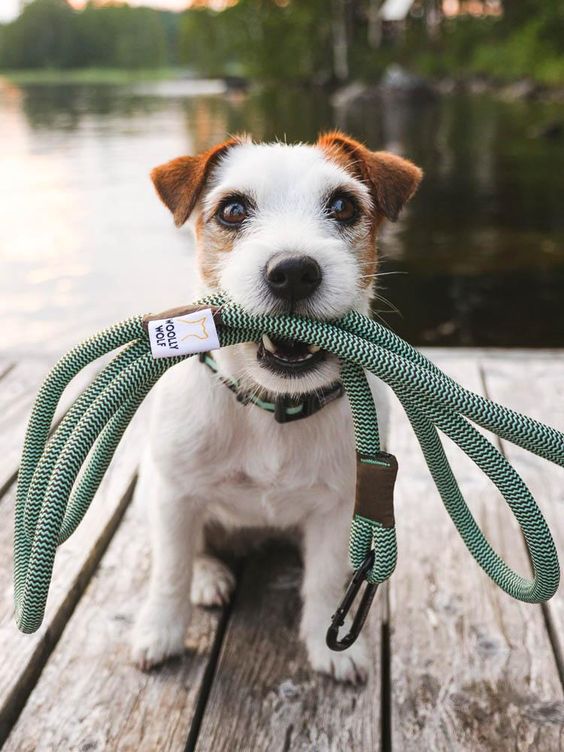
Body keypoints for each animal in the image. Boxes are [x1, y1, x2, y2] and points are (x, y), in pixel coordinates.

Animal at [132, 132, 420, 684]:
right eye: (233, 209)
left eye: (343, 206)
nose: (293, 272)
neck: (270, 408)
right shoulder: (175, 495)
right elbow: (172, 569)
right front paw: (160, 631)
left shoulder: (339, 507)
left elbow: (326, 579)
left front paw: (334, 650)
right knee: (190, 548)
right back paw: (208, 577)